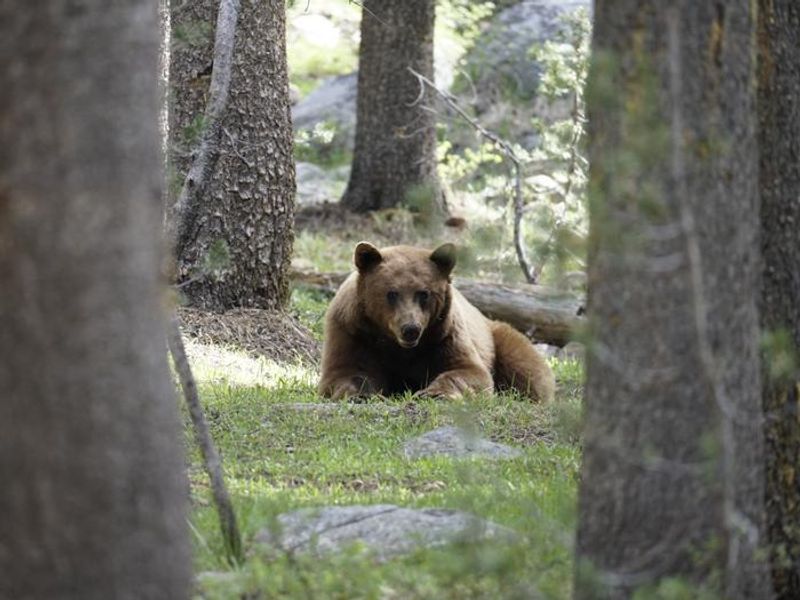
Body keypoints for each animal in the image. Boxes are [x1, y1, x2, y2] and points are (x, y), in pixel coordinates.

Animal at [318, 241, 555, 402]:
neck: (398, 347)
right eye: (391, 293)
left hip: (498, 336)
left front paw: (433, 392)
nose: (410, 329)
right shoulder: (352, 332)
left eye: (423, 293)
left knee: (525, 368)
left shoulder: (443, 335)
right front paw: (361, 394)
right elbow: (344, 372)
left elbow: (469, 371)